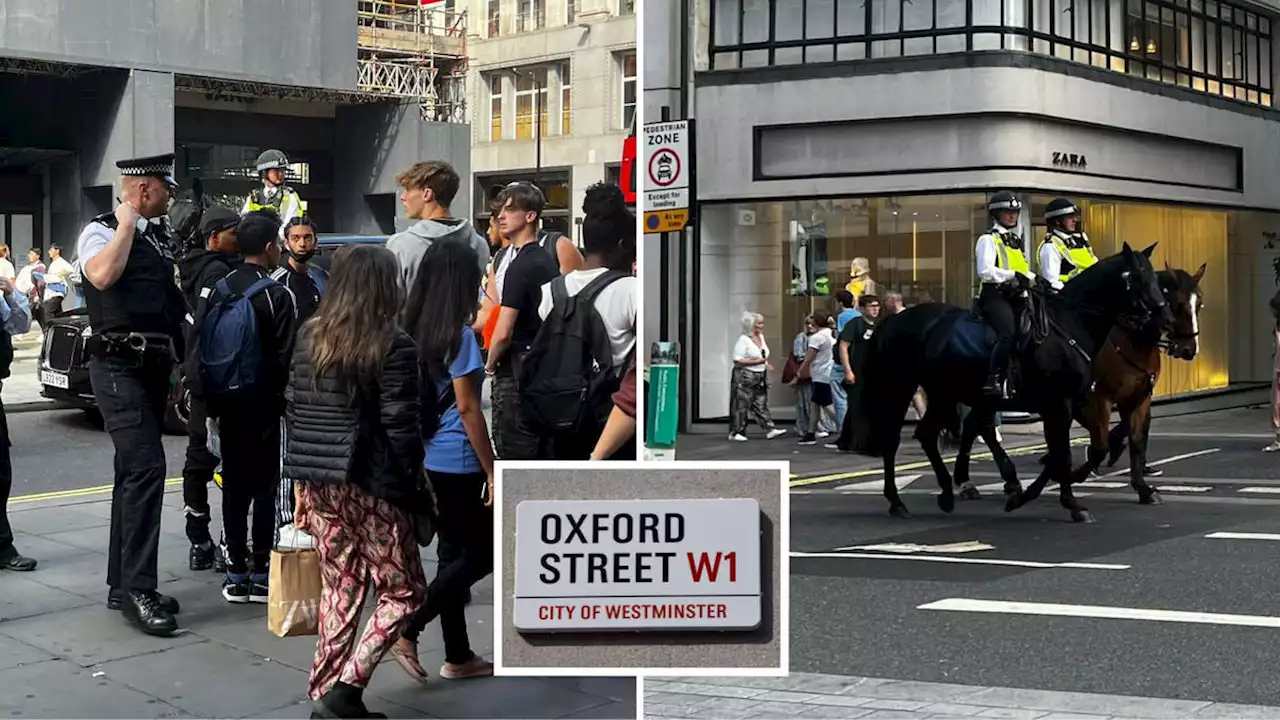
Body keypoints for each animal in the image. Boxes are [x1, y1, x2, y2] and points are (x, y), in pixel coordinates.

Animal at [860, 242, 1172, 520]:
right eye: (1138, 277)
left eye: (1155, 277)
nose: (1162, 314)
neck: (1069, 326)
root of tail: (894, 319)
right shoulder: (1060, 404)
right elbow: (1063, 454)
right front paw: (1071, 504)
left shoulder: (1075, 403)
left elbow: (1077, 451)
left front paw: (1028, 496)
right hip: (902, 388)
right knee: (894, 440)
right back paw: (899, 501)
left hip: (945, 393)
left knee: (930, 434)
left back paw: (948, 493)